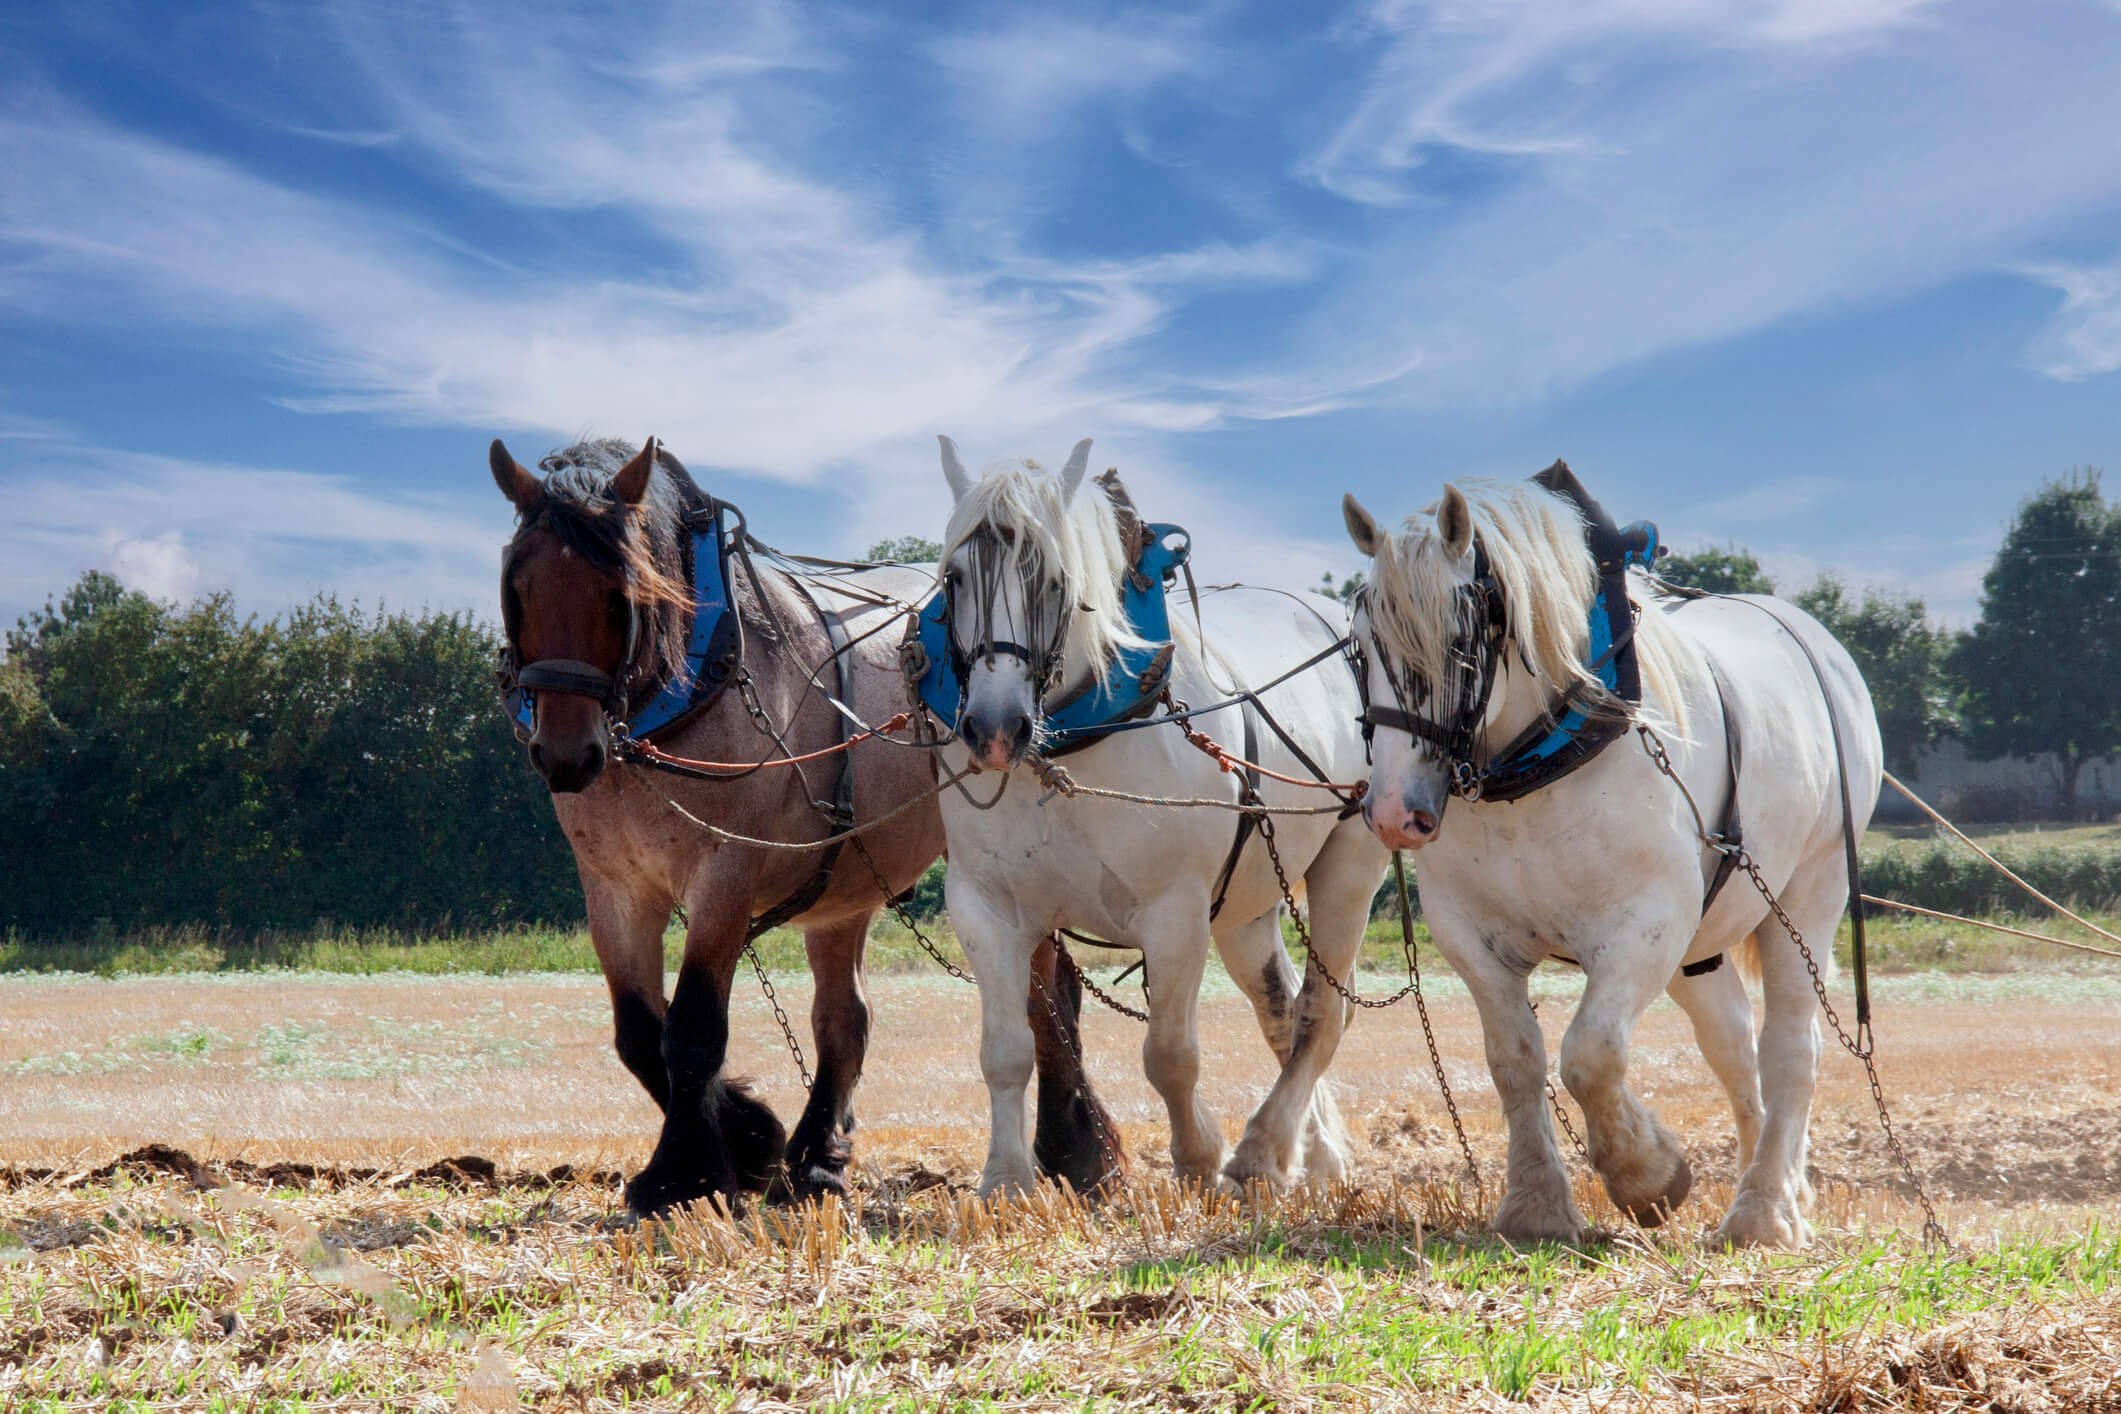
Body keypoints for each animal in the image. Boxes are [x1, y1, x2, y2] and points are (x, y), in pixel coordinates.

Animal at [487, 435, 1123, 1215]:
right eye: (517, 587)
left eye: (622, 592)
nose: (566, 754)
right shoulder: (613, 887)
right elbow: (639, 1031)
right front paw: (748, 1138)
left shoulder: (725, 876)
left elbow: (691, 1028)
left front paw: (686, 1175)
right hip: (843, 890)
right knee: (845, 1019)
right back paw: (816, 1158)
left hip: (1004, 867)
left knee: (1045, 998)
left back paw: (1075, 1150)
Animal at [927, 436, 1390, 1196]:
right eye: (956, 577)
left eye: (1052, 579)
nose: (994, 731)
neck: (1072, 741)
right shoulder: (985, 908)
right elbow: (1005, 1050)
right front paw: (1004, 1182)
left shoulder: (1174, 912)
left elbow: (1169, 1053)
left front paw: (1198, 1158)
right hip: (1246, 902)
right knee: (1282, 1010)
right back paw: (1313, 1154)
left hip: (1351, 863)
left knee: (1322, 1015)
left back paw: (1262, 1150)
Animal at [1341, 467, 1881, 1247]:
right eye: (1358, 645)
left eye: (1459, 640)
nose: (1392, 811)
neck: (1533, 769)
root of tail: (1817, 644)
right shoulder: (1471, 935)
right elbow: (1516, 1060)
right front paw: (1536, 1207)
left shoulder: (1646, 923)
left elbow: (1590, 1054)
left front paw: (1647, 1176)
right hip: (1703, 942)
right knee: (1732, 1046)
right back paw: (1782, 1187)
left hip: (1809, 894)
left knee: (1789, 1048)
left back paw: (1762, 1213)